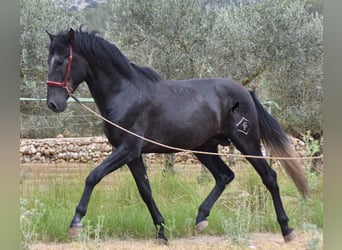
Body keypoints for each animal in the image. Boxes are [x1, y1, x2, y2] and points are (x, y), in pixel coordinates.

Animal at [44, 28, 308, 243]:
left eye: (61, 61)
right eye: (49, 60)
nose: (53, 104)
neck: (125, 93)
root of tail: (245, 91)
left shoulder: (127, 149)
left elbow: (93, 176)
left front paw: (75, 223)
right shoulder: (133, 155)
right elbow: (145, 191)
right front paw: (161, 232)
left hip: (247, 142)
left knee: (269, 177)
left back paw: (287, 230)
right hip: (205, 148)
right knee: (225, 176)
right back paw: (201, 219)